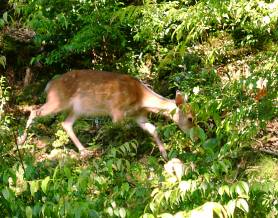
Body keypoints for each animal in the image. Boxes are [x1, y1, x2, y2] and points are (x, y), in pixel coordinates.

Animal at [18, 70, 194, 160]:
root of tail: (49, 86)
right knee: (35, 111)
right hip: (57, 101)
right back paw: (20, 141)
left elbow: (153, 129)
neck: (141, 98)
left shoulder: (138, 116)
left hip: (76, 109)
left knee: (66, 124)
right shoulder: (117, 111)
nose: (197, 137)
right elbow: (118, 130)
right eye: (190, 118)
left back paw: (84, 151)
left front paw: (164, 154)